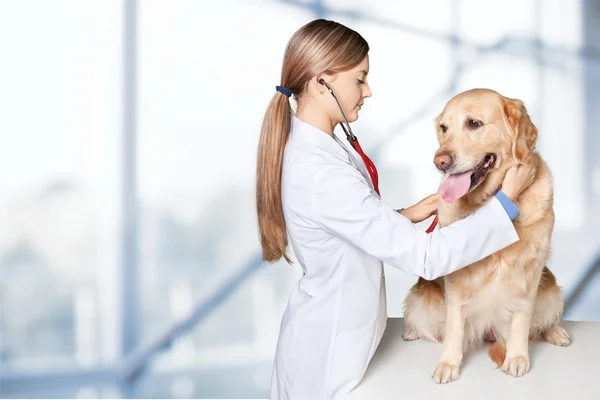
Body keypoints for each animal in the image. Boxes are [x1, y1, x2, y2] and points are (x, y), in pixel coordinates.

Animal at [404, 88, 572, 384]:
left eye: (474, 123)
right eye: (443, 128)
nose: (440, 162)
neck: (489, 199)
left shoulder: (531, 271)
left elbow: (522, 318)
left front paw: (517, 358)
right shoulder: (455, 275)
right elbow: (455, 325)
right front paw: (448, 363)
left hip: (551, 288)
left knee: (543, 321)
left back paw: (556, 332)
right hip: (421, 296)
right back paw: (412, 331)